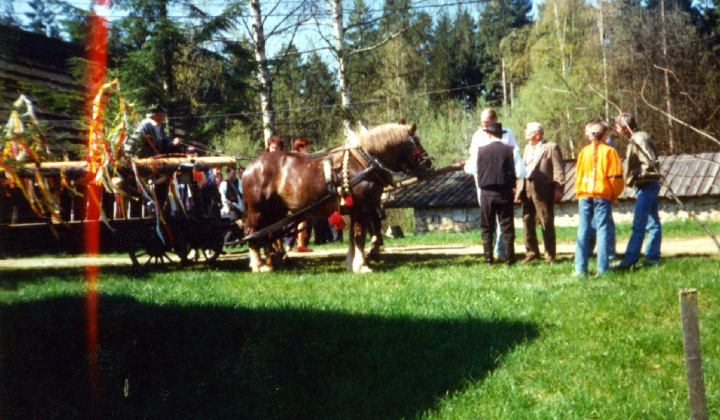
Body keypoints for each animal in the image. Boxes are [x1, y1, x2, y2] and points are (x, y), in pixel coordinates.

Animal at [242, 122, 434, 272]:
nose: (428, 163)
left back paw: (273, 261)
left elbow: (353, 238)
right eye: (416, 143)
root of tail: (249, 167)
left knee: (269, 234)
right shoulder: (362, 208)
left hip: (275, 213)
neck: (364, 162)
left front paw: (352, 263)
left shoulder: (355, 210)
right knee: (252, 233)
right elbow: (359, 236)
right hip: (258, 211)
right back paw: (259, 265)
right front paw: (362, 266)